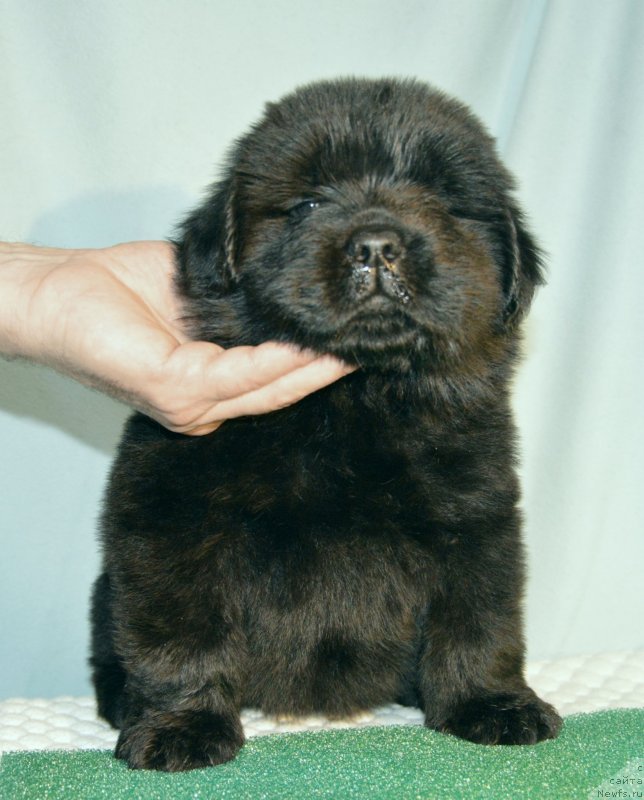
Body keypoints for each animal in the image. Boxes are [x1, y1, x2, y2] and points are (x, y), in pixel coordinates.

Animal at [91, 77, 562, 771]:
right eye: (309, 202)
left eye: (443, 202)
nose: (376, 246)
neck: (354, 400)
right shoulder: (170, 516)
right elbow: (181, 631)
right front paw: (182, 725)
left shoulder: (476, 519)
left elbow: (482, 620)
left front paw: (492, 704)